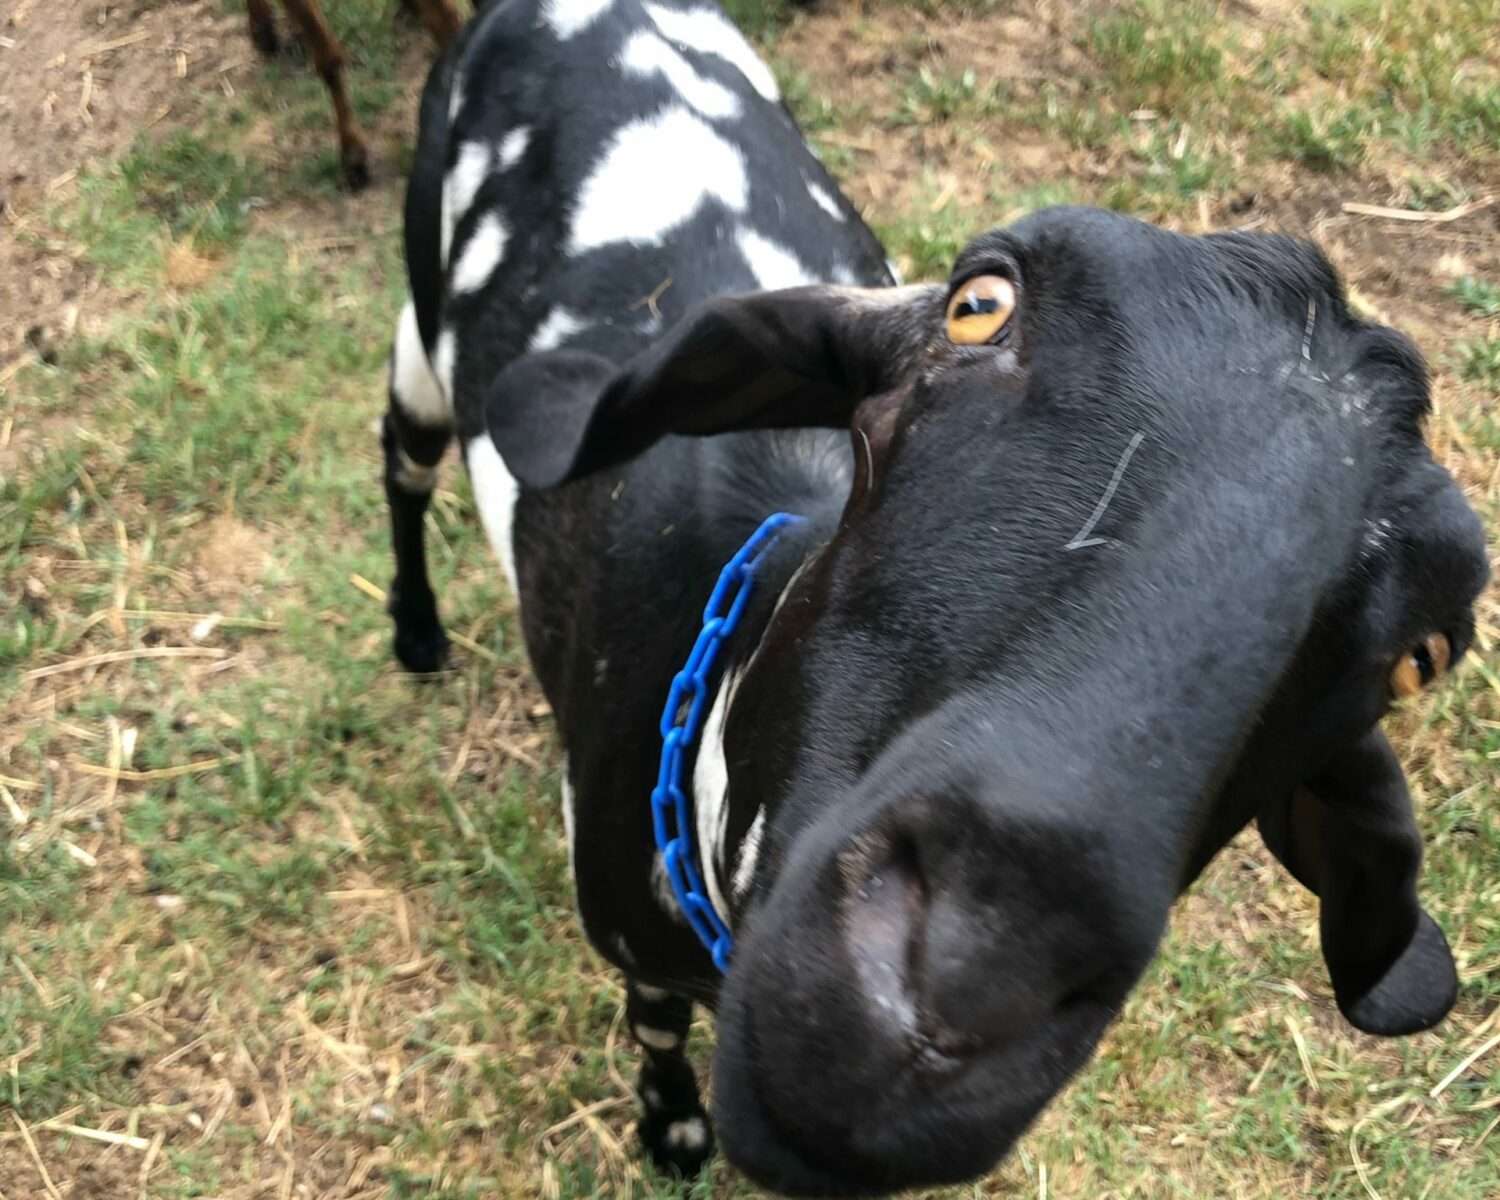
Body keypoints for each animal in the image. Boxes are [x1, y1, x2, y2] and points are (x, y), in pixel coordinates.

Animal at [379, 0, 1491, 1192]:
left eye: (1424, 654)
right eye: (977, 304)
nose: (962, 978)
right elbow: (653, 1018)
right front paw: (670, 1126)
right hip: (419, 340)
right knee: (401, 464)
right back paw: (416, 631)